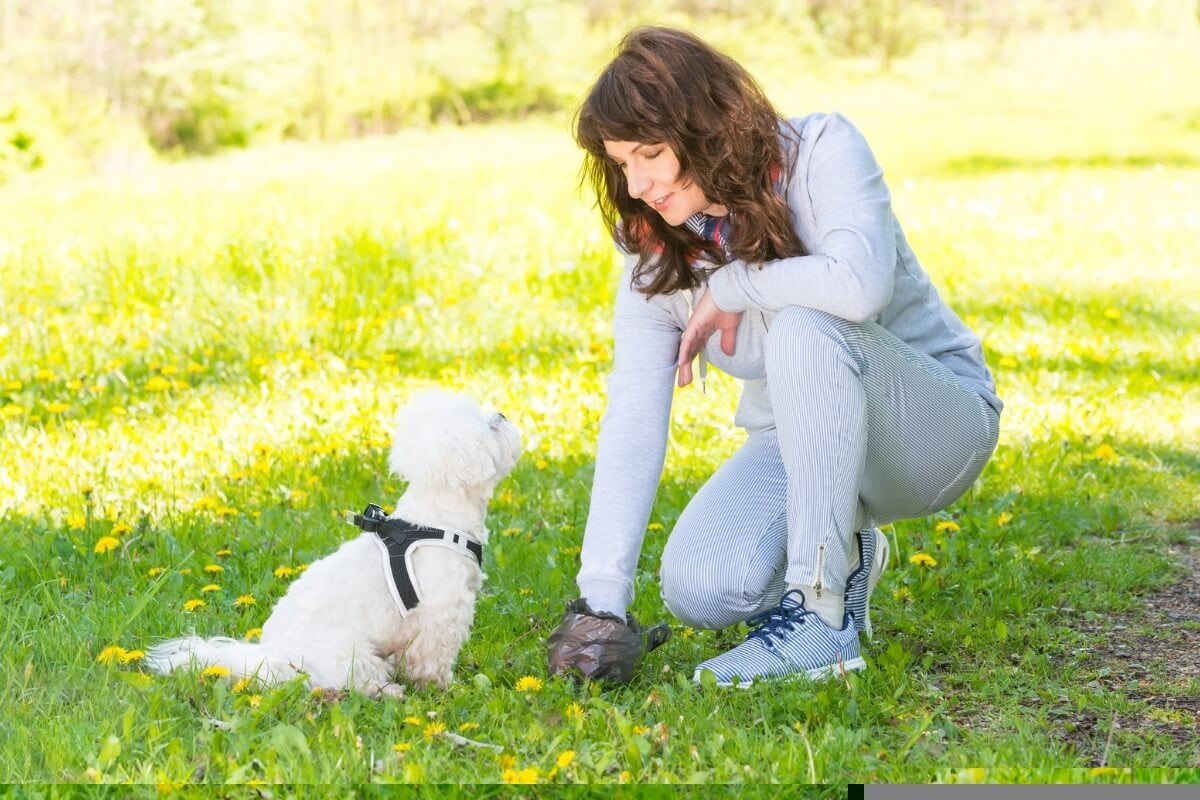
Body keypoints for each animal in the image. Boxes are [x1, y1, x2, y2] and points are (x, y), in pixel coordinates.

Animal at [145, 391, 520, 695]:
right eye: (489, 426)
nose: (503, 414)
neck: (438, 519)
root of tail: (272, 658)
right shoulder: (440, 614)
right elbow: (432, 659)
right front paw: (442, 687)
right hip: (348, 653)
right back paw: (388, 691)